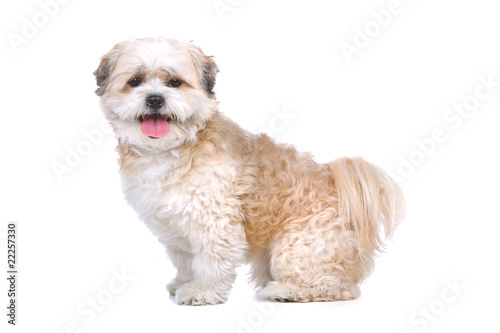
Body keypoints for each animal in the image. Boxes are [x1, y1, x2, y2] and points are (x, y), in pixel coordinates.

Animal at [94, 37, 406, 304]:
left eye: (174, 82)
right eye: (135, 81)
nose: (156, 99)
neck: (173, 149)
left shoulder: (214, 221)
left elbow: (210, 263)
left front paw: (201, 292)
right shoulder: (175, 228)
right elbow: (186, 262)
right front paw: (184, 283)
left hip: (296, 247)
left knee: (337, 287)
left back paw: (286, 291)